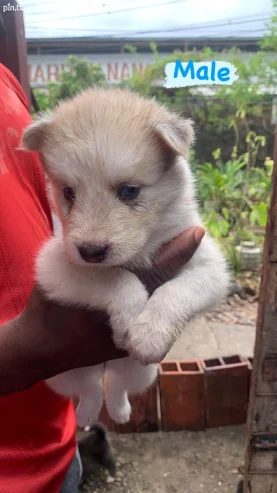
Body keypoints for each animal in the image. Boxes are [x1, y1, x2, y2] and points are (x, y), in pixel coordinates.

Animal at [22, 88, 229, 426]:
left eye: (130, 191)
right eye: (68, 192)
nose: (91, 251)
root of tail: (105, 365)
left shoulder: (209, 265)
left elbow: (176, 291)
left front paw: (148, 334)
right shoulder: (55, 263)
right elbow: (116, 277)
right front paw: (130, 319)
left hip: (141, 372)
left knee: (116, 386)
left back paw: (120, 412)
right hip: (62, 374)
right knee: (91, 389)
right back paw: (86, 415)